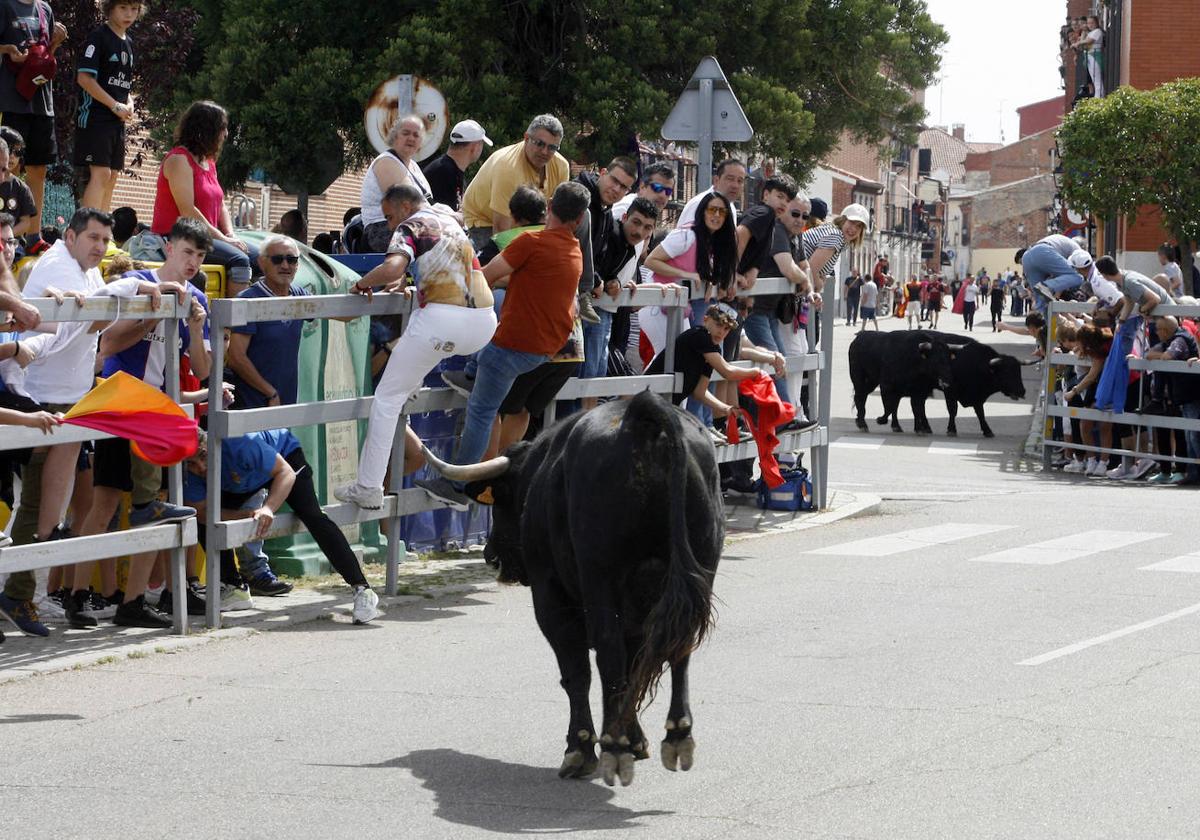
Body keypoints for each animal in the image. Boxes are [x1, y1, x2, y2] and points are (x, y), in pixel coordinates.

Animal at [424, 391, 720, 782]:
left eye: (503, 499)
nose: (491, 556)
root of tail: (640, 413)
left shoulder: (551, 595)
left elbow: (576, 671)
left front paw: (581, 748)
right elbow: (633, 666)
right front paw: (634, 738)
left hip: (599, 578)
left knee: (606, 655)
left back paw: (613, 747)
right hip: (699, 569)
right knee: (678, 649)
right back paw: (676, 735)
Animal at [854, 328, 1032, 436]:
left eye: (1019, 371)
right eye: (1007, 372)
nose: (1022, 391)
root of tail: (860, 336)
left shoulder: (976, 396)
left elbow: (980, 413)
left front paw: (987, 430)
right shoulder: (950, 391)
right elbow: (952, 410)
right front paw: (951, 429)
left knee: (909, 405)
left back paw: (917, 427)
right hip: (863, 380)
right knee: (862, 397)